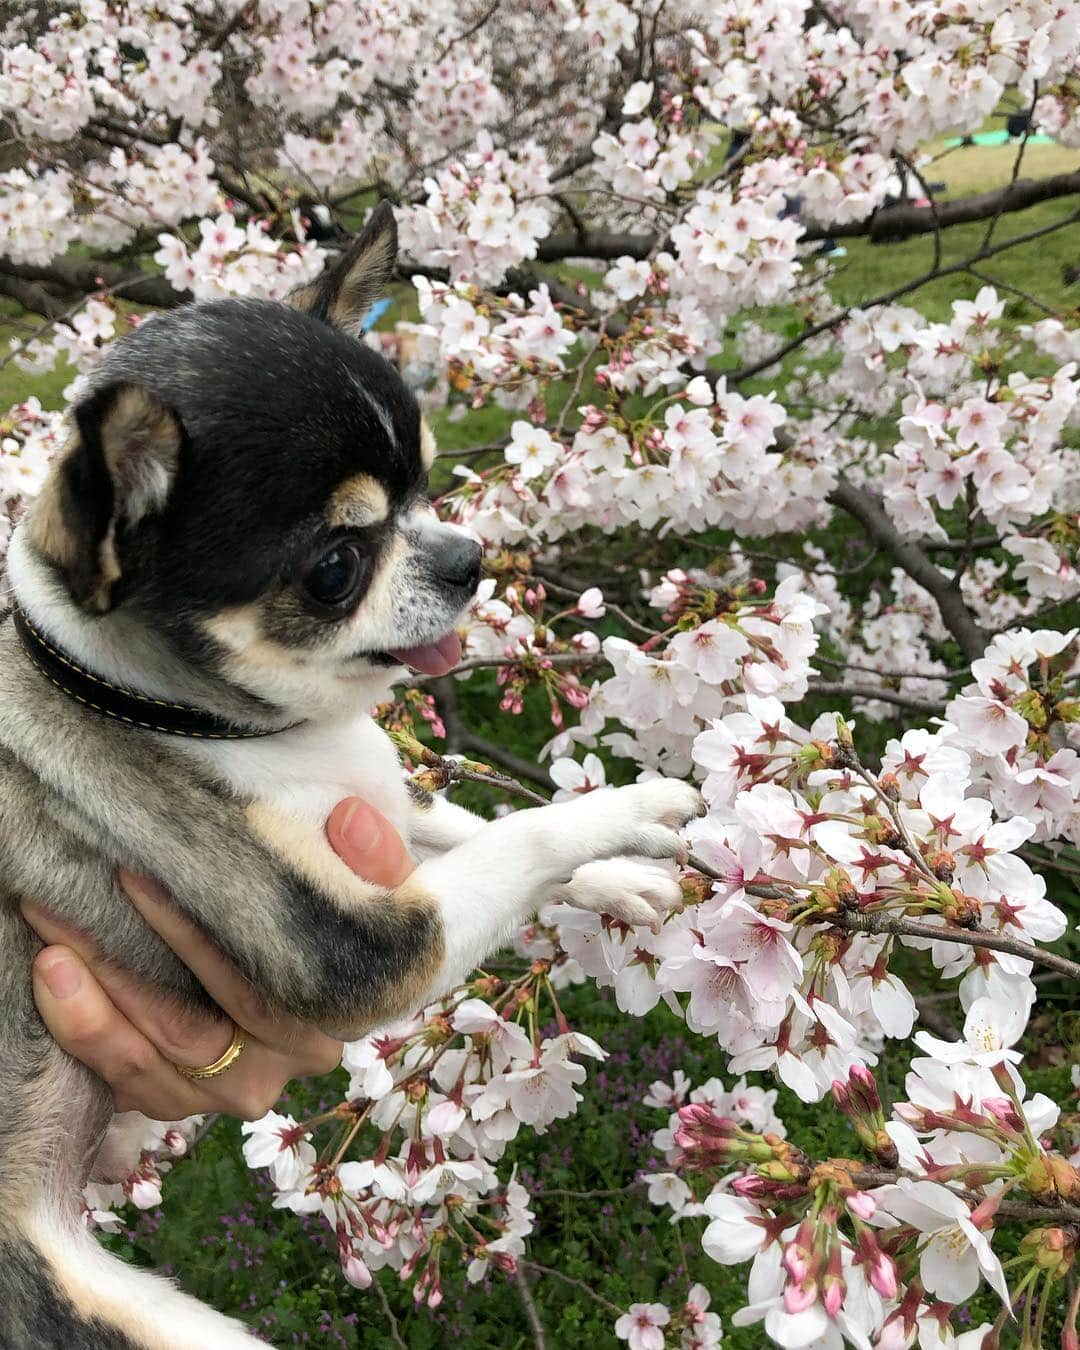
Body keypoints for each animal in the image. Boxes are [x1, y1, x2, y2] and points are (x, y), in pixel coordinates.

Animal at [0, 202, 702, 1350]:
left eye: (430, 483)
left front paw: (625, 875)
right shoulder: (361, 944)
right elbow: (521, 838)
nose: (468, 558)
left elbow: (481, 825)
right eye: (335, 567)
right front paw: (634, 804)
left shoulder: (383, 809)